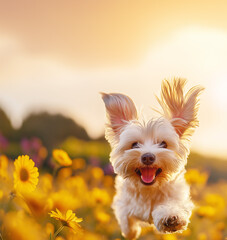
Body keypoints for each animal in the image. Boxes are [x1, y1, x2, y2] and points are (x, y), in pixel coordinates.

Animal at [102, 78, 203, 238]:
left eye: (163, 144)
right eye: (135, 144)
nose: (148, 157)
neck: (149, 190)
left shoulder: (179, 197)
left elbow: (173, 206)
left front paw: (171, 218)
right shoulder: (123, 203)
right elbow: (126, 219)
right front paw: (131, 232)